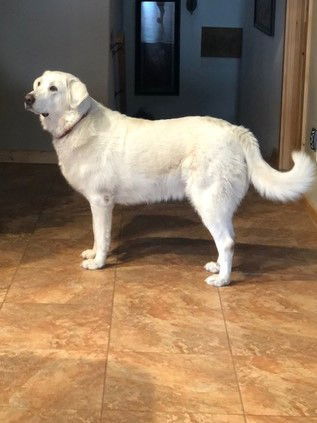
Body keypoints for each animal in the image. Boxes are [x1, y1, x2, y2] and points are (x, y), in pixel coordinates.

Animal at [24, 71, 314, 288]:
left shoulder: (101, 201)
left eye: (53, 89)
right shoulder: (99, 204)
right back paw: (218, 267)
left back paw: (222, 280)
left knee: (227, 242)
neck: (77, 123)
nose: (28, 98)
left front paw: (98, 263)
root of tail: (234, 130)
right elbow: (98, 237)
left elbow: (101, 235)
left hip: (207, 201)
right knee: (229, 239)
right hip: (220, 204)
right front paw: (94, 254)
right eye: (38, 84)